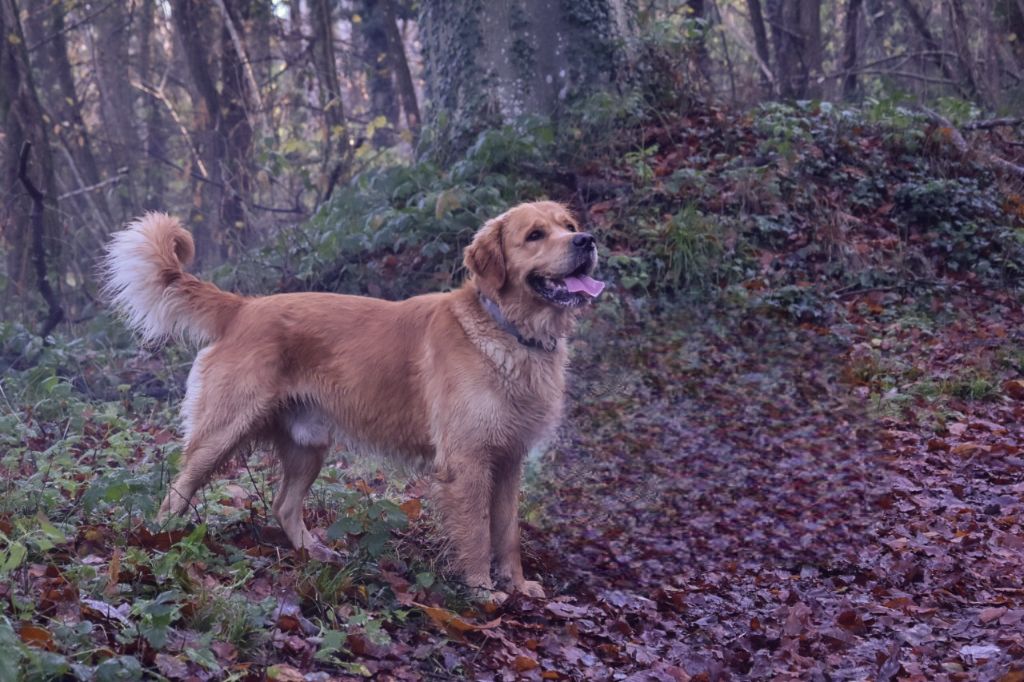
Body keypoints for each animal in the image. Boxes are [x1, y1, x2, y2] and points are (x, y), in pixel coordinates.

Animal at [100, 200, 602, 593]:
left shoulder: (509, 460)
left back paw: (316, 554)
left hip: (308, 445)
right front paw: (482, 590)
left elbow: (508, 532)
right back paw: (161, 541)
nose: (587, 241)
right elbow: (478, 533)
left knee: (284, 506)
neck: (509, 332)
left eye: (568, 225)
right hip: (222, 431)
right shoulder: (468, 460)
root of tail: (243, 307)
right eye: (535, 235)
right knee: (176, 490)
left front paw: (517, 585)